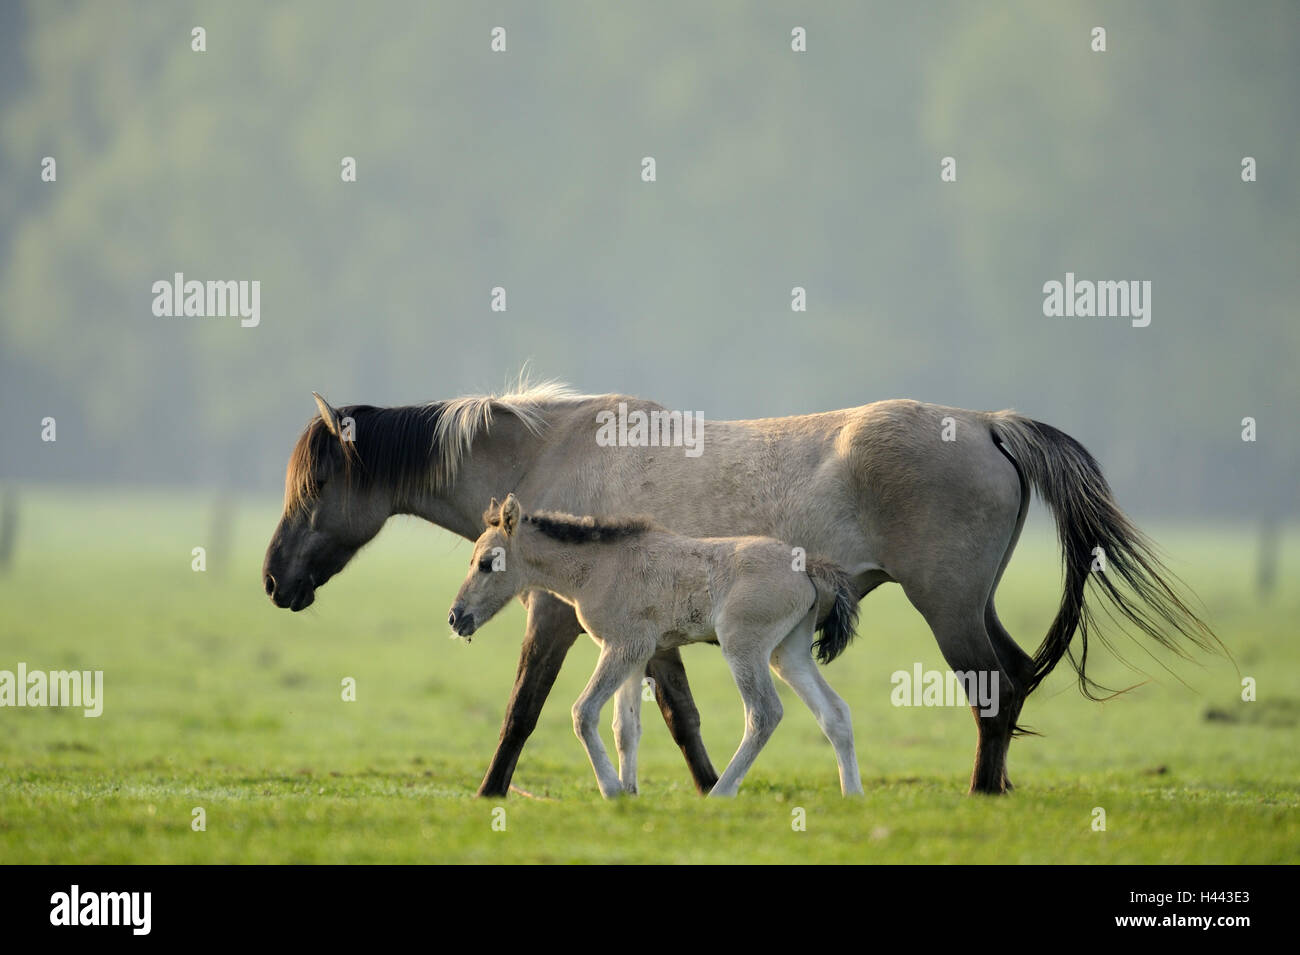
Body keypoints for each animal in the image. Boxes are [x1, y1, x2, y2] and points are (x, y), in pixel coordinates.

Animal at [447, 493, 863, 800]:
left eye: (487, 563)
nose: (455, 616)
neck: (599, 567)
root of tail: (807, 566)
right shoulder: (635, 655)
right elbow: (625, 727)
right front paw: (630, 792)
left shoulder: (623, 647)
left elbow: (584, 712)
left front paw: (612, 790)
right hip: (788, 654)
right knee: (835, 711)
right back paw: (852, 794)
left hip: (743, 647)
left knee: (764, 714)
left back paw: (721, 792)